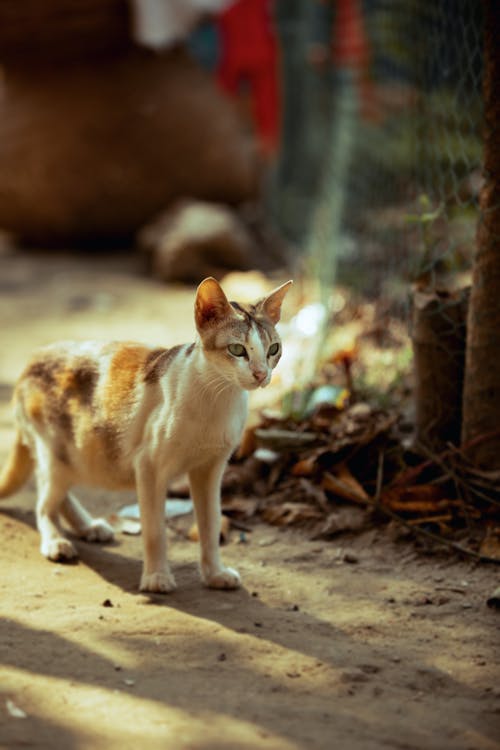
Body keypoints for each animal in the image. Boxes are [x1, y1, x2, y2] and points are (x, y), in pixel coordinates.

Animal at [0, 276, 292, 592]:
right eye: (237, 350)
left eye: (273, 350)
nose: (261, 375)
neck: (218, 397)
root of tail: (32, 359)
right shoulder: (149, 468)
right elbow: (154, 530)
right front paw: (157, 577)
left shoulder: (210, 470)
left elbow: (211, 525)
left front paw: (214, 573)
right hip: (57, 453)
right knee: (44, 503)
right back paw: (55, 540)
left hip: (77, 457)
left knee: (57, 495)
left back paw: (88, 526)